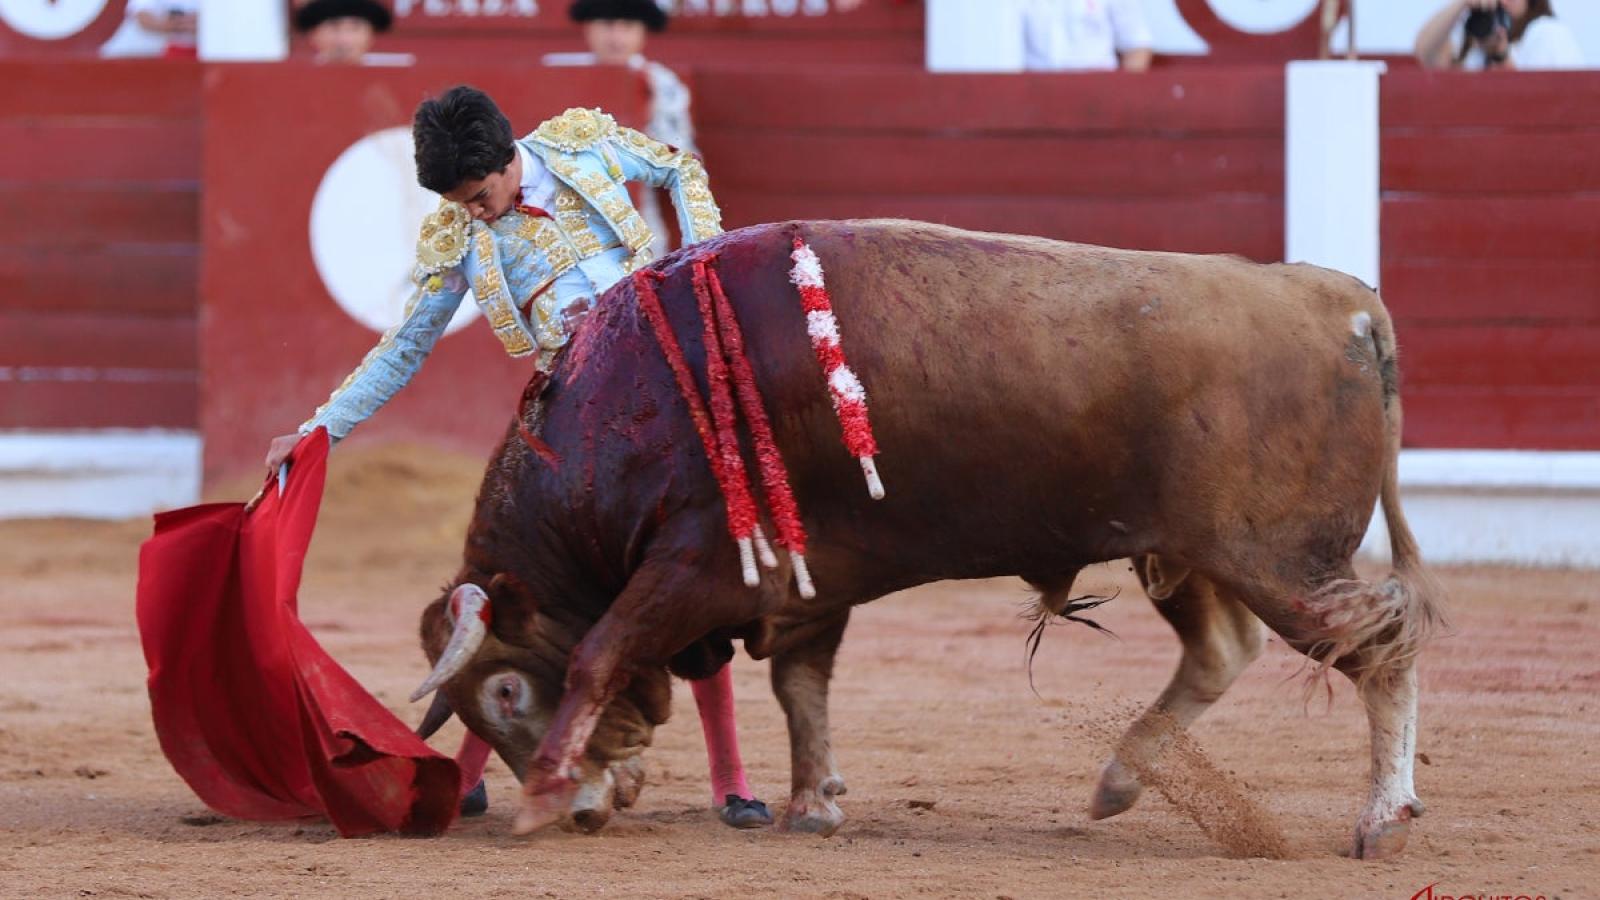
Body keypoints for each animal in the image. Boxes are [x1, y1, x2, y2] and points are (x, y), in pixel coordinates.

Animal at [406, 217, 1446, 851]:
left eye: (503, 692)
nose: (587, 805)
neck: (635, 401)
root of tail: (1345, 301)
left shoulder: (692, 566)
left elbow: (601, 652)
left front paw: (542, 792)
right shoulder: (802, 583)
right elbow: (801, 688)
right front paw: (813, 803)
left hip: (1284, 562)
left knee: (1380, 656)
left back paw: (1382, 821)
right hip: (1192, 554)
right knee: (1225, 649)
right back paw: (1117, 781)